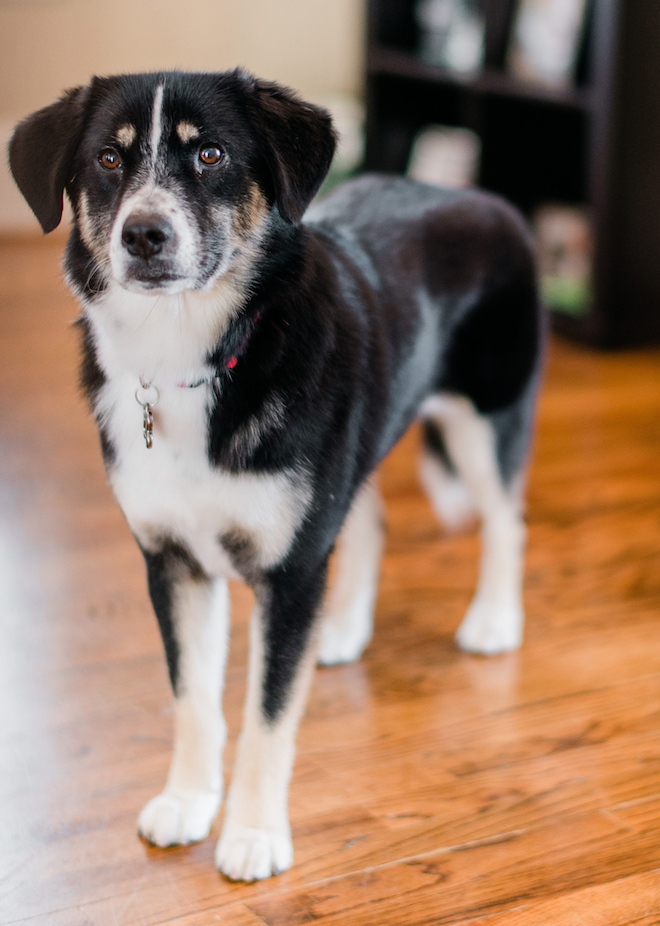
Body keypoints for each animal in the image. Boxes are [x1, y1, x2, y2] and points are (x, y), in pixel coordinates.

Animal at [10, 70, 544, 884]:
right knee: (371, 519)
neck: (192, 359)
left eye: (210, 154)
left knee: (506, 519)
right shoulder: (174, 562)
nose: (144, 234)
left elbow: (268, 717)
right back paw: (345, 629)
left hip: (485, 417)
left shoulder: (289, 573)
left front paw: (254, 835)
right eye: (107, 158)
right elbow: (193, 699)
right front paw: (188, 801)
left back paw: (493, 621)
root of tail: (486, 199)